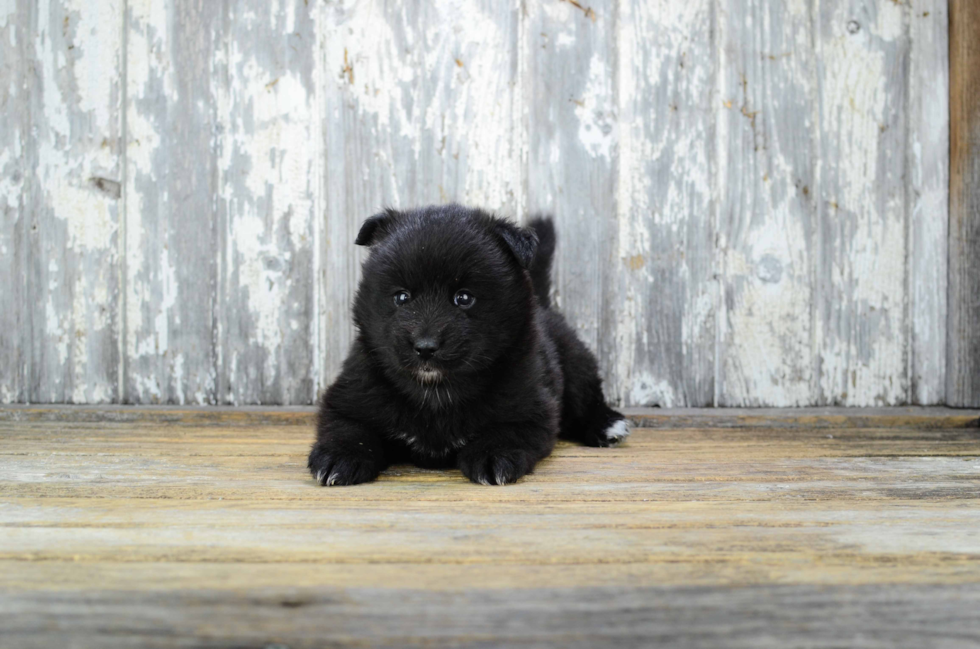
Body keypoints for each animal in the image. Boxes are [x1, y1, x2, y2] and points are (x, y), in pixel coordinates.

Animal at [308, 205, 628, 484]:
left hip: (575, 362)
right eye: (402, 297)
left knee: (587, 398)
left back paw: (607, 425)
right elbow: (349, 428)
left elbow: (506, 431)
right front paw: (340, 457)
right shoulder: (349, 397)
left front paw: (493, 455)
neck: (435, 393)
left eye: (463, 298)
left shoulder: (531, 410)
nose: (425, 347)